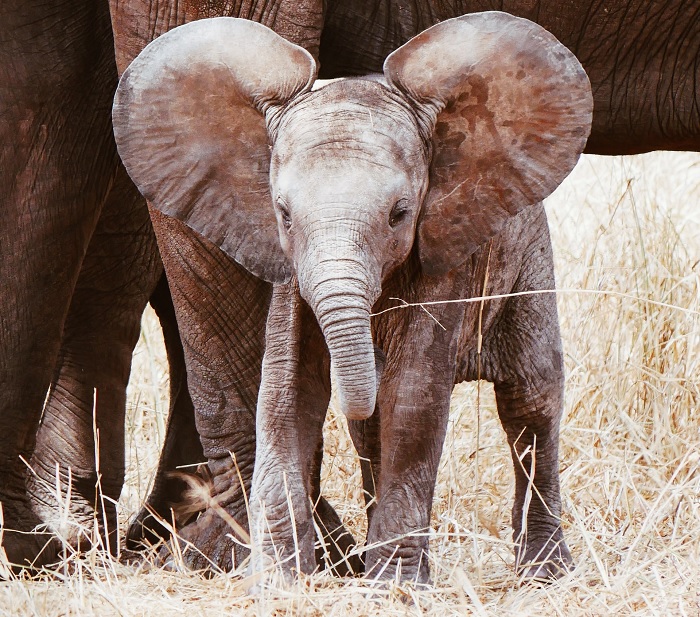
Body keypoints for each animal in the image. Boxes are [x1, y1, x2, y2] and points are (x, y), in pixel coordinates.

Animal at [113, 13, 593, 583]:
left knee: (531, 399)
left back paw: (544, 573)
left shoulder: (445, 254)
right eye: (284, 215)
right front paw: (282, 582)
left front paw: (397, 587)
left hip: (528, 260)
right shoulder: (291, 278)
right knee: (372, 437)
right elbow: (285, 394)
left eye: (400, 214)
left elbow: (413, 396)